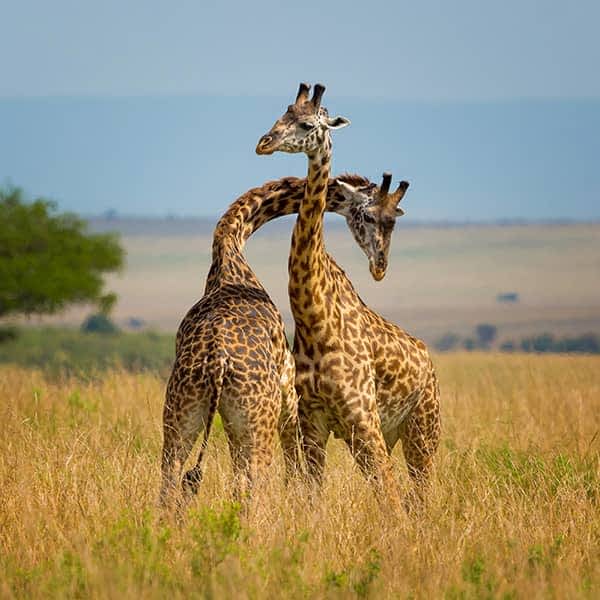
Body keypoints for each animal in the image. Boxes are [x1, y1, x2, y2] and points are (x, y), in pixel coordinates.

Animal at [157, 169, 406, 510]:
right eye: (370, 216)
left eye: (393, 220)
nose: (379, 266)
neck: (230, 251)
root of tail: (217, 364)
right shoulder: (289, 390)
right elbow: (294, 462)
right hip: (257, 420)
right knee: (253, 484)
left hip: (182, 414)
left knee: (171, 483)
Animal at [255, 82, 442, 508]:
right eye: (283, 112)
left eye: (308, 123)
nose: (264, 143)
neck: (315, 318)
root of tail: (428, 360)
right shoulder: (313, 424)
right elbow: (313, 497)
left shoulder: (363, 421)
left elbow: (390, 499)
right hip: (390, 435)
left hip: (423, 430)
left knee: (419, 493)